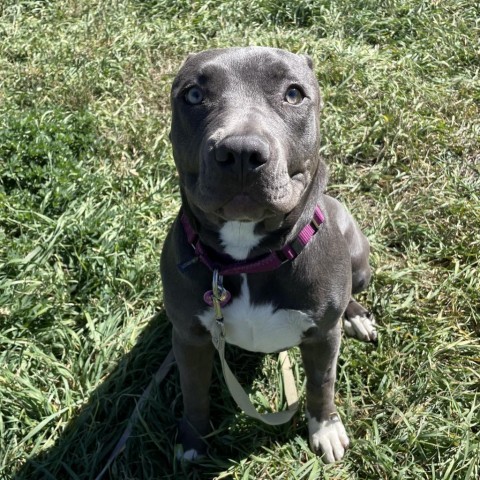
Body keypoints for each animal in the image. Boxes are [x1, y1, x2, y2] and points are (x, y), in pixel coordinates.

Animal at [159, 47, 376, 464]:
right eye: (193, 95)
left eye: (293, 94)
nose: (241, 151)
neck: (248, 258)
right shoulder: (190, 338)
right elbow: (194, 391)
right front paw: (193, 439)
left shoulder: (323, 336)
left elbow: (322, 383)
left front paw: (325, 428)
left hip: (359, 259)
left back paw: (356, 316)